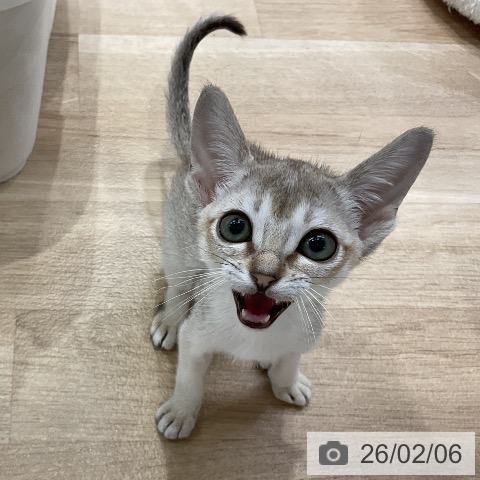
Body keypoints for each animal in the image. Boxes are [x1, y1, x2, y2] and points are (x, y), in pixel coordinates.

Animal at [150, 15, 433, 440]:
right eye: (235, 227)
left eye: (318, 245)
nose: (264, 276)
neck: (255, 337)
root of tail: (189, 160)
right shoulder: (196, 338)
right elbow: (189, 377)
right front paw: (182, 412)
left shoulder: (306, 336)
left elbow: (290, 358)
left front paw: (286, 380)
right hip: (179, 255)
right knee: (178, 284)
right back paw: (169, 318)